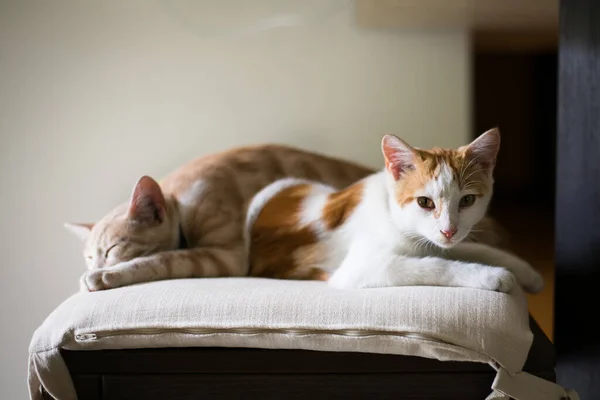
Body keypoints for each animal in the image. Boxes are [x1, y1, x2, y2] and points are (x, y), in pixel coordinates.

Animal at [246, 129, 548, 294]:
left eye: (467, 200)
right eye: (424, 202)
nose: (449, 230)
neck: (392, 214)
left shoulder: (440, 240)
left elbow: (477, 249)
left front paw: (528, 273)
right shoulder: (361, 267)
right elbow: (432, 265)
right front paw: (492, 276)